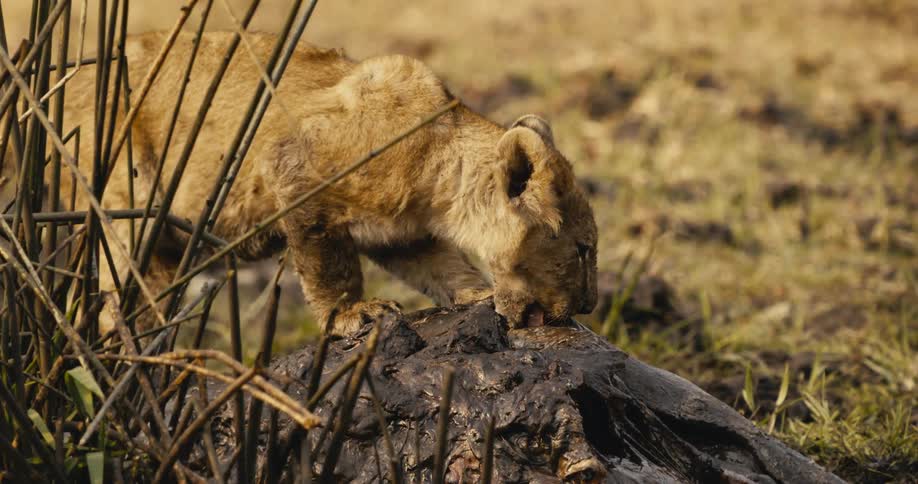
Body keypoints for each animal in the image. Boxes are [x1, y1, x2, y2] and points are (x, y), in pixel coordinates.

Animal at [17, 31, 598, 336]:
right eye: (583, 249)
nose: (591, 306)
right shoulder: (295, 169)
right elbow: (329, 267)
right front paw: (353, 315)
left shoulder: (405, 236)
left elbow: (441, 265)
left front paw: (476, 293)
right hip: (119, 198)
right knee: (115, 292)